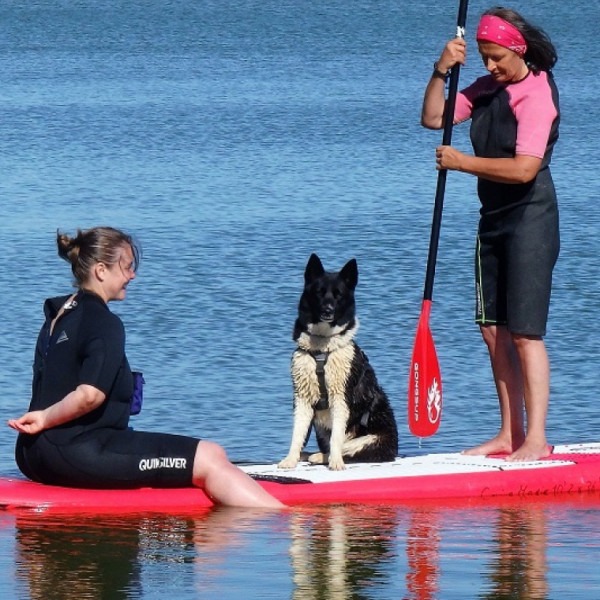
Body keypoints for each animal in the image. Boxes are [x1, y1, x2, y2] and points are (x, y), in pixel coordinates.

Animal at [278, 251, 398, 472]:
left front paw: (335, 462)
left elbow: (336, 439)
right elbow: (297, 434)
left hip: (369, 439)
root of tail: (393, 451)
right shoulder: (302, 397)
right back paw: (311, 455)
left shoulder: (341, 397)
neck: (322, 348)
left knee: (349, 450)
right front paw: (290, 459)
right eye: (319, 292)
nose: (328, 310)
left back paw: (323, 456)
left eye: (338, 294)